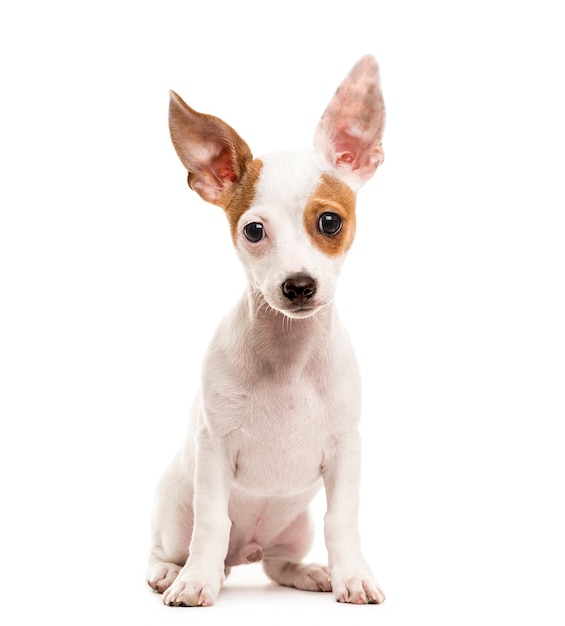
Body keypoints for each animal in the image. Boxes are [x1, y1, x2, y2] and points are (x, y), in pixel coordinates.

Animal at [145, 54, 386, 604]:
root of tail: (244, 553)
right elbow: (211, 523)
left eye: (330, 222)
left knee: (277, 564)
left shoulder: (346, 452)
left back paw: (310, 573)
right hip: (174, 512)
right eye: (254, 231)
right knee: (172, 546)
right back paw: (177, 572)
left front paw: (352, 575)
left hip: (294, 527)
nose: (298, 285)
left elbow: (342, 522)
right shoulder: (214, 450)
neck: (289, 358)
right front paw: (195, 583)